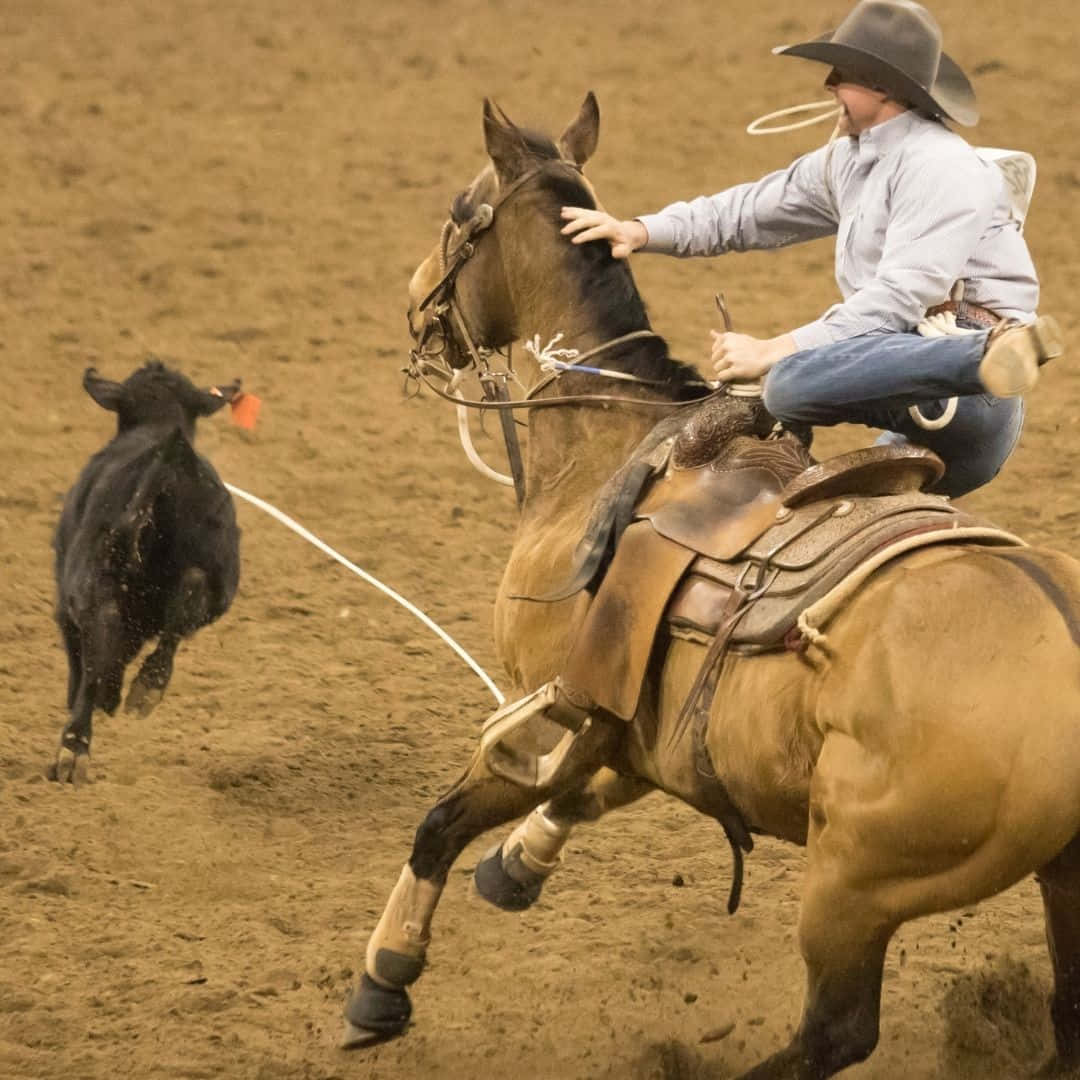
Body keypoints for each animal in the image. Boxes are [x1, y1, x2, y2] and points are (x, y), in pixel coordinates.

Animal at [343, 92, 1080, 1079]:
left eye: (461, 214)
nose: (413, 301)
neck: (613, 443)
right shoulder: (629, 717)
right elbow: (590, 789)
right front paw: (521, 862)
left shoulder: (557, 697)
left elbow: (445, 821)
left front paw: (384, 978)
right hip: (1062, 880)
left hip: (855, 886)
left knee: (835, 1032)